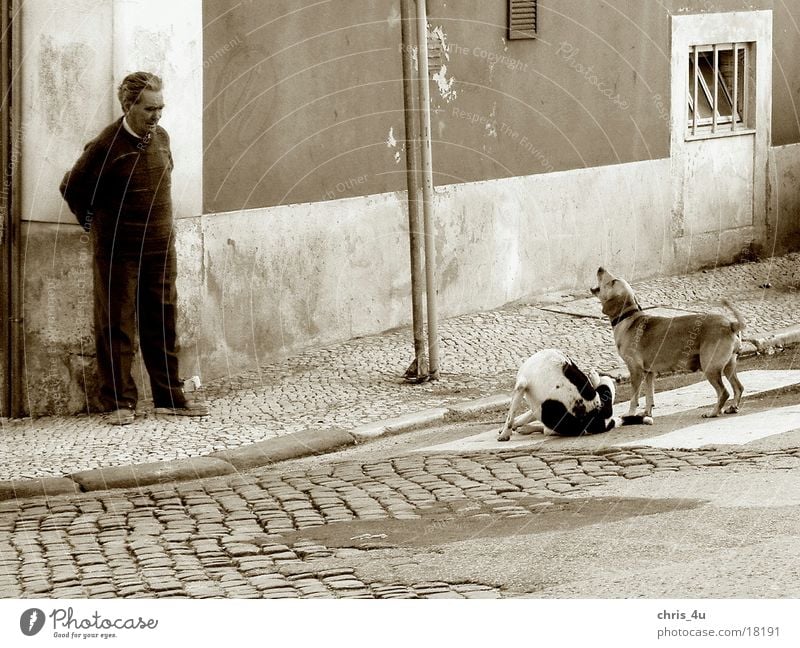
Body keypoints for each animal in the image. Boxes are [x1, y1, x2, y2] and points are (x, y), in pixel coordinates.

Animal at [592, 268, 748, 420]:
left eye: (613, 281)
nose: (600, 268)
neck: (628, 317)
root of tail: (730, 324)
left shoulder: (635, 371)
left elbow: (634, 398)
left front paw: (630, 414)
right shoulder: (649, 373)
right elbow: (649, 396)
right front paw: (646, 413)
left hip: (710, 368)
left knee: (724, 392)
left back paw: (713, 412)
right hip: (728, 366)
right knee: (738, 388)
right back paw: (733, 407)